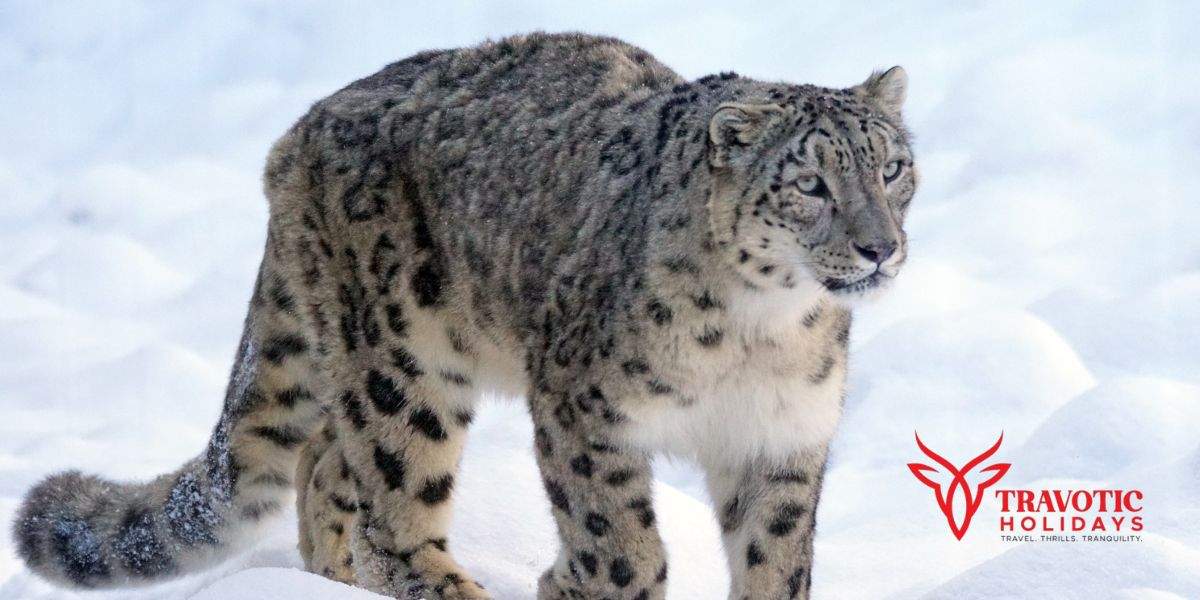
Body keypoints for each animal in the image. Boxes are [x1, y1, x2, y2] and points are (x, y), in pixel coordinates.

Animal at [13, 32, 916, 600]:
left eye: (893, 167)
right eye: (811, 184)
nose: (879, 247)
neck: (763, 333)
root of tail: (297, 135)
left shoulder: (782, 438)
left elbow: (776, 561)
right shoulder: (586, 410)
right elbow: (618, 542)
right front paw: (571, 582)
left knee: (325, 465)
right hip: (402, 359)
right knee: (390, 507)